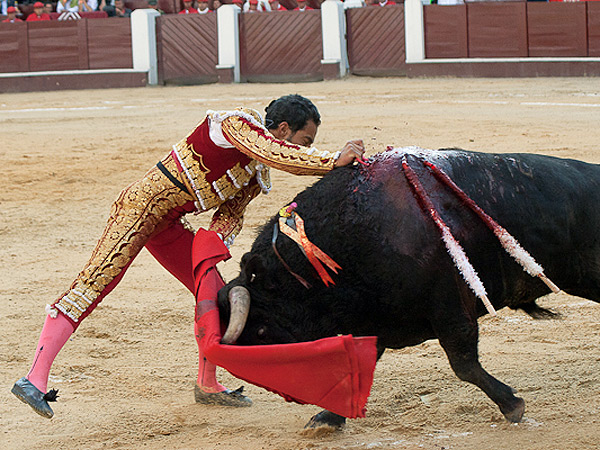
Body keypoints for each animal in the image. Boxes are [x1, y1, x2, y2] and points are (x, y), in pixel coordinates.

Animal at [217, 149, 600, 428]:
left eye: (261, 330)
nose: (288, 392)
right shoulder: (375, 321)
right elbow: (358, 370)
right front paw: (328, 418)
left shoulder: (450, 306)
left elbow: (464, 364)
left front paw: (512, 405)